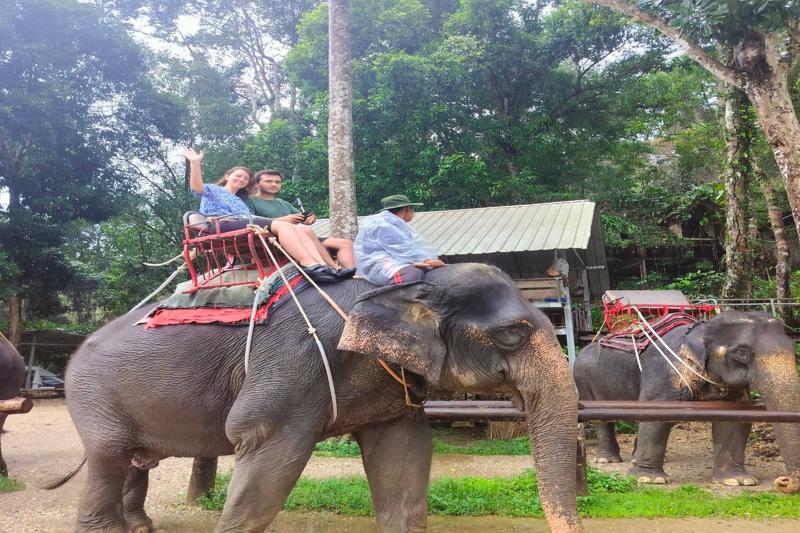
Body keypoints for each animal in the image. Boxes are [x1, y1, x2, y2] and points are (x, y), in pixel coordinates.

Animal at [65, 263, 583, 533]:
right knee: (109, 456)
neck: (402, 284)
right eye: (513, 334)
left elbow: (404, 456)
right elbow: (264, 457)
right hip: (93, 396)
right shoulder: (293, 366)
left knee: (135, 459)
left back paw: (139, 527)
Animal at [574, 311, 800, 491]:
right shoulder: (665, 370)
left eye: (792, 347)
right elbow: (656, 414)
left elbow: (734, 420)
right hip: (583, 382)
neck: (701, 329)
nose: (784, 481)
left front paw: (738, 481)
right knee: (603, 420)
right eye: (742, 352)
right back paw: (608, 459)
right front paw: (649, 480)